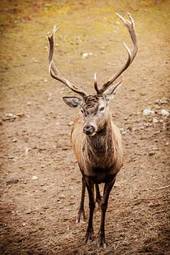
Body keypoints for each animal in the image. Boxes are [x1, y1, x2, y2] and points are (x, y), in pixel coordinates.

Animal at [47, 13, 137, 247]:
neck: (101, 165)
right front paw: (89, 235)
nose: (88, 128)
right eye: (82, 109)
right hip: (78, 162)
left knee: (97, 193)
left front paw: (102, 238)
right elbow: (91, 204)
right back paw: (79, 214)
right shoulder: (87, 171)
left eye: (102, 107)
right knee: (82, 185)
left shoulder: (114, 174)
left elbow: (104, 204)